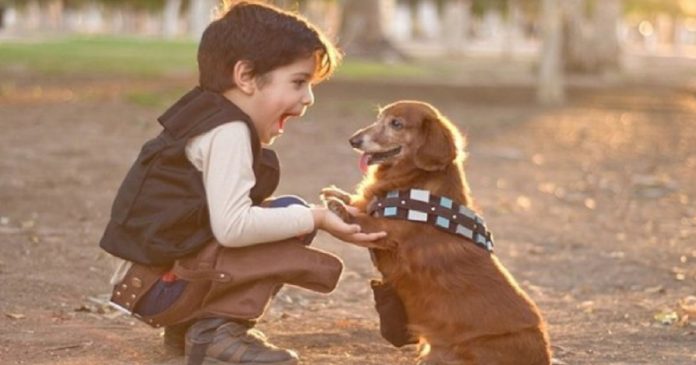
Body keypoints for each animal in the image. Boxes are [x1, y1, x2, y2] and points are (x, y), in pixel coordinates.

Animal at [322, 100, 556, 364]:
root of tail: (544, 356)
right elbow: (360, 202)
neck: (415, 184)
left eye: (396, 124)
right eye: (379, 118)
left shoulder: (389, 231)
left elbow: (363, 219)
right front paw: (338, 194)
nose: (353, 140)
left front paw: (339, 207)